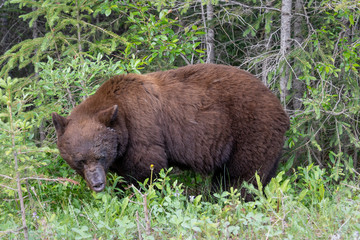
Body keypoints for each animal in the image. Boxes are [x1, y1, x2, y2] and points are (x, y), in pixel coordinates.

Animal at [52, 63, 290, 197]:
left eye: (100, 156)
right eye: (81, 160)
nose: (97, 183)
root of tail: (280, 106)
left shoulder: (141, 130)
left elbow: (147, 171)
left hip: (252, 130)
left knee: (242, 177)